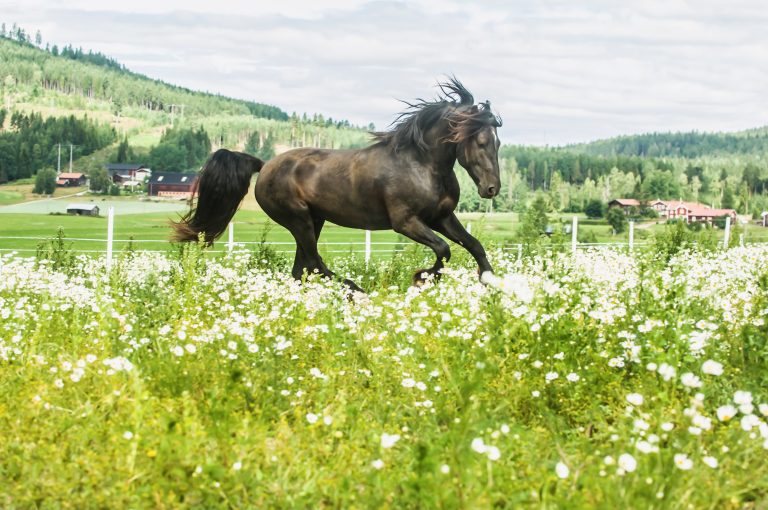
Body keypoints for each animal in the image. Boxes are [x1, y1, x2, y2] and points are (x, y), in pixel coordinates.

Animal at [171, 75, 500, 290]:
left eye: (497, 142)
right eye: (481, 141)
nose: (491, 188)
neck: (421, 164)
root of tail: (264, 167)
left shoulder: (442, 217)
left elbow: (474, 245)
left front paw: (491, 281)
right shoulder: (405, 222)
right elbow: (443, 249)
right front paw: (421, 278)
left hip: (313, 221)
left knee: (301, 268)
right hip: (299, 219)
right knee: (313, 264)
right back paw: (355, 290)